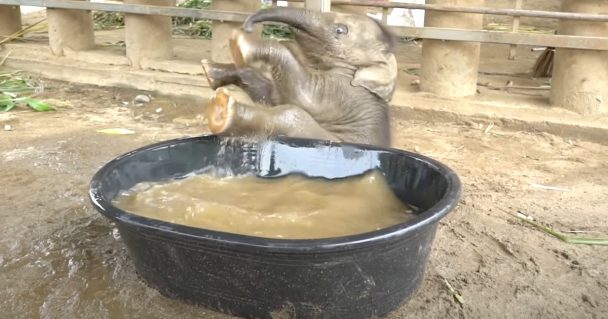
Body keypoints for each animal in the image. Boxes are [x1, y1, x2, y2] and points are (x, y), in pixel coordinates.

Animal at [202, 7, 396, 148]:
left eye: (340, 30)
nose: (247, 26)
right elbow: (273, 96)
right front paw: (214, 66)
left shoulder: (345, 94)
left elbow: (304, 97)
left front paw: (241, 44)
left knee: (292, 114)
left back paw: (222, 110)